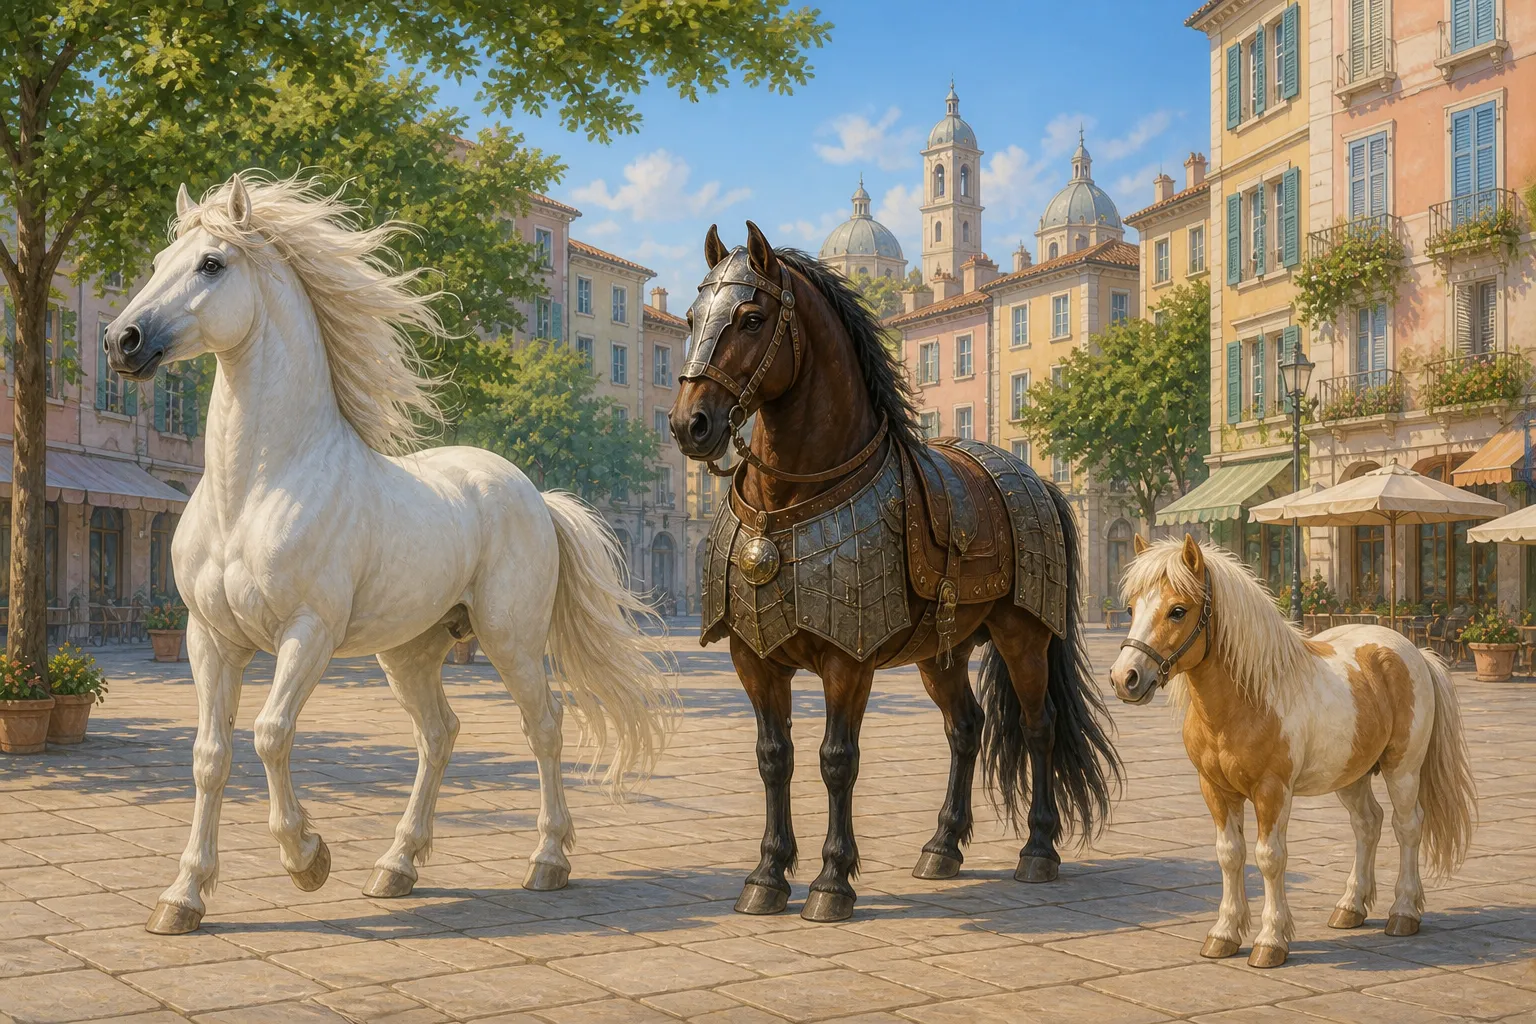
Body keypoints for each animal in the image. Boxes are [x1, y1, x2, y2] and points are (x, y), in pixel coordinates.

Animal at [104, 173, 674, 935]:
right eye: (159, 260)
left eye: (211, 264)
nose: (123, 341)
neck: (254, 487)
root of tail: (532, 493)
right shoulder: (210, 637)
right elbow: (209, 756)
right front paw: (183, 897)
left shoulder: (308, 632)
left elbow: (270, 734)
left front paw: (307, 859)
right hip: (410, 651)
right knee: (439, 734)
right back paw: (396, 867)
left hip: (511, 638)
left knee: (544, 727)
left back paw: (547, 861)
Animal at [668, 221, 1121, 922]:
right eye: (691, 319)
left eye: (751, 318)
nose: (690, 425)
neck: (787, 501)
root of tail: (1036, 481)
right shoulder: (753, 658)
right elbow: (775, 759)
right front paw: (767, 875)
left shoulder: (847, 660)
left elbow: (836, 760)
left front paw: (832, 881)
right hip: (942, 651)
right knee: (966, 728)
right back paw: (943, 846)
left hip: (1023, 635)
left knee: (1038, 726)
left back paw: (1038, 851)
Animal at [1110, 535, 1476, 968]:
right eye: (1132, 609)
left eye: (1178, 611)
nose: (1124, 678)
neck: (1246, 700)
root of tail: (1416, 653)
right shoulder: (1215, 789)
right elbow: (1229, 854)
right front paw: (1224, 934)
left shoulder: (1272, 791)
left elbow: (1270, 858)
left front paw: (1271, 942)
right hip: (1350, 773)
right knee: (1368, 824)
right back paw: (1350, 908)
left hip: (1402, 769)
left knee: (1408, 827)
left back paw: (1403, 913)